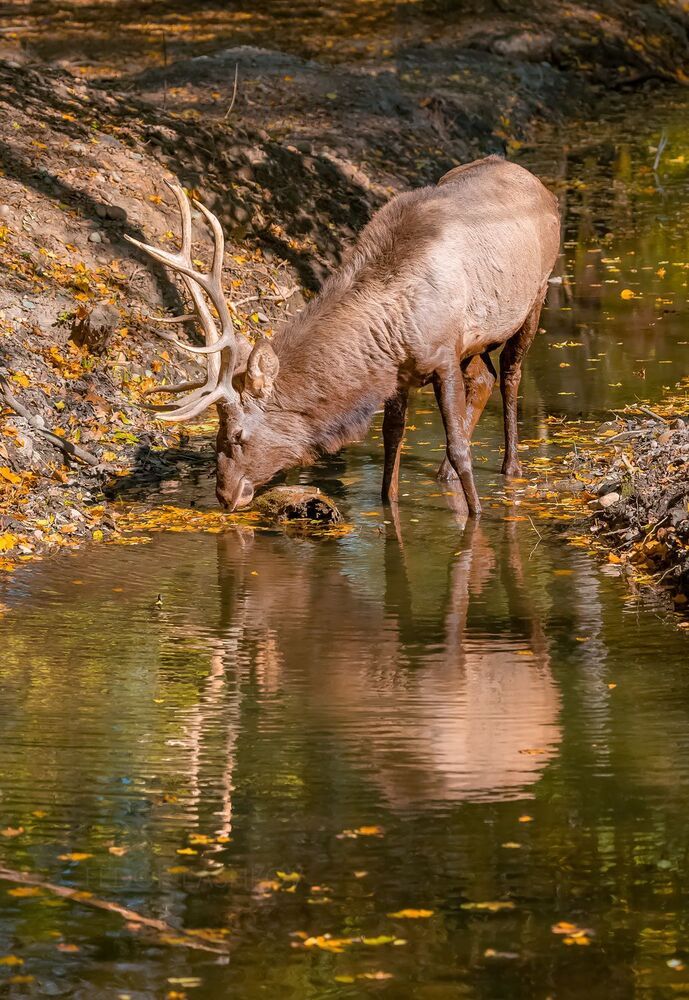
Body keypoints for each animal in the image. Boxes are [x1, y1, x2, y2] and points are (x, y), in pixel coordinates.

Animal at [125, 155, 560, 514]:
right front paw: (389, 502)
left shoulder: (442, 354)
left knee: (510, 373)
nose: (225, 496)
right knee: (484, 378)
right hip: (478, 340)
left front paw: (477, 514)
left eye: (236, 435)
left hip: (536, 295)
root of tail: (538, 183)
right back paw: (443, 474)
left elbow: (458, 447)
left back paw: (511, 466)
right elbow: (391, 439)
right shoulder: (400, 372)